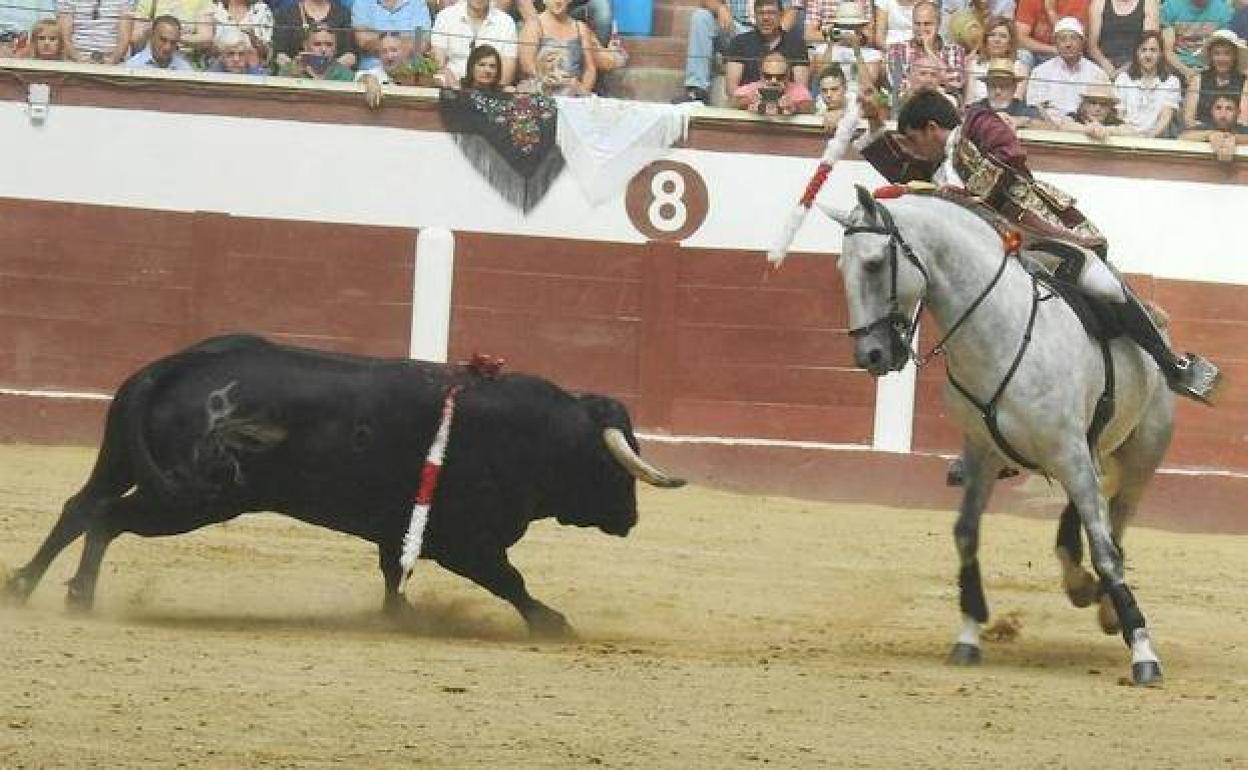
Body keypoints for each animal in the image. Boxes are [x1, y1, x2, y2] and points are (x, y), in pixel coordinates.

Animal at [2, 334, 683, 633]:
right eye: (612, 467)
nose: (631, 519)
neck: (541, 436)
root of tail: (174, 365)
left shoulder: (401, 529)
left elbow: (392, 571)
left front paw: (397, 615)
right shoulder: (466, 542)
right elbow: (509, 580)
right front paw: (552, 621)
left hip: (122, 462)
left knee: (79, 507)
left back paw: (24, 586)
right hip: (192, 498)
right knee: (106, 518)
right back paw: (78, 596)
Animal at [823, 185, 1173, 683]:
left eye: (872, 263)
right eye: (841, 267)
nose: (870, 355)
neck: (998, 334)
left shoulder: (1069, 451)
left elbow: (1105, 550)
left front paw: (1143, 652)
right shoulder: (983, 453)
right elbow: (966, 533)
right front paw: (969, 635)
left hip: (1139, 453)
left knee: (1116, 523)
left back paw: (1105, 608)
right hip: (1086, 454)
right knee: (1086, 522)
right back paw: (1080, 584)